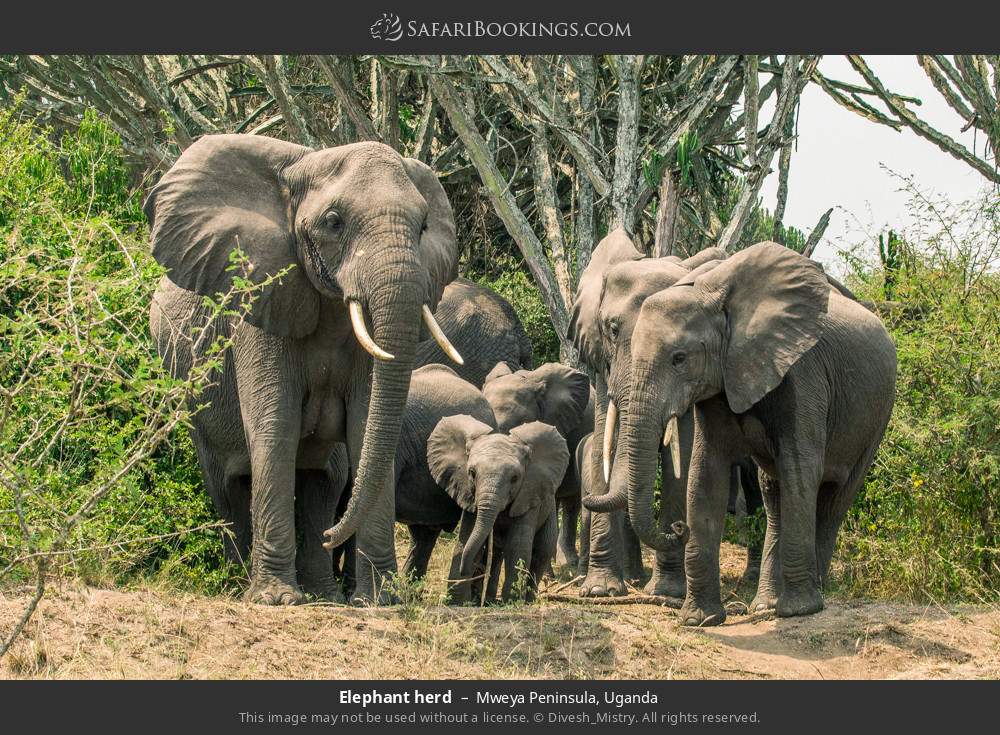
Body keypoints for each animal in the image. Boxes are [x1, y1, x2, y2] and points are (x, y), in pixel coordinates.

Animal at [146, 135, 458, 608]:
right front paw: (276, 600)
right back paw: (239, 584)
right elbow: (275, 425)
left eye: (423, 226)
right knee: (228, 490)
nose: (335, 537)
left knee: (323, 482)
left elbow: (366, 427)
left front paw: (381, 601)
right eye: (333, 222)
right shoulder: (257, 304)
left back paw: (323, 594)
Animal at [430, 416, 572, 600]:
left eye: (515, 478)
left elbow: (517, 546)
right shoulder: (469, 494)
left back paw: (527, 600)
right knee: (497, 553)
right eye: (472, 473)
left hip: (548, 509)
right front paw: (456, 601)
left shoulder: (528, 495)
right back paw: (489, 599)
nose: (466, 571)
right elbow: (466, 538)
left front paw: (511, 601)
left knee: (542, 551)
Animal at [620, 243, 896, 628]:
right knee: (774, 494)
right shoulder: (719, 381)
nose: (677, 528)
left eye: (679, 358)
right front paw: (699, 620)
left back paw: (814, 596)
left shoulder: (802, 372)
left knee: (834, 500)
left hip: (877, 416)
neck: (713, 293)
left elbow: (801, 469)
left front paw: (799, 611)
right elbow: (706, 475)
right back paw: (766, 605)